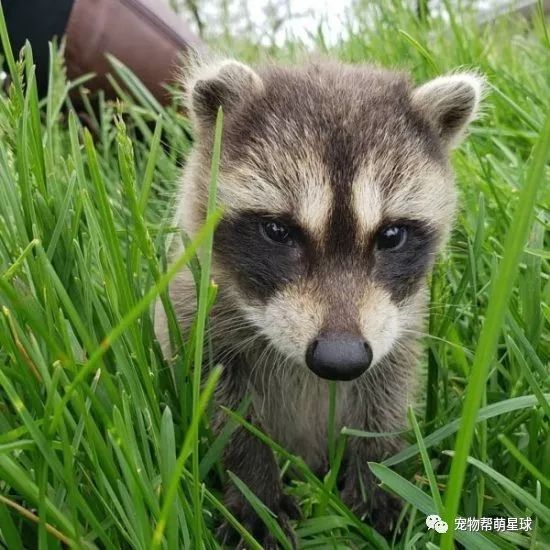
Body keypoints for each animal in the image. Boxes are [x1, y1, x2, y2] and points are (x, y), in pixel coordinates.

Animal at [154, 58, 484, 544]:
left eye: (391, 235)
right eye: (277, 231)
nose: (340, 359)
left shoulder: (398, 322)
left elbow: (387, 389)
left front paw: (376, 472)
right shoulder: (194, 309)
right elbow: (220, 401)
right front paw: (254, 489)